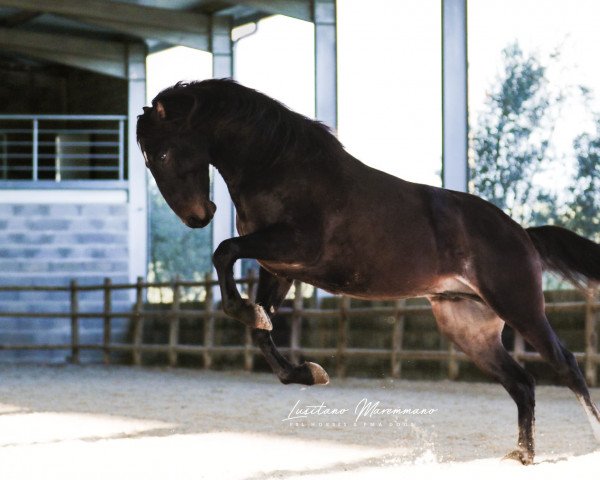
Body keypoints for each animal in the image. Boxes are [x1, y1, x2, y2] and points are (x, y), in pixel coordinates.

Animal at [137, 79, 600, 464]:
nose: (198, 217)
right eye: (148, 159)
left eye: (162, 153)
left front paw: (253, 316)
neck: (280, 169)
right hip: (468, 328)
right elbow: (260, 330)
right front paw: (307, 371)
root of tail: (522, 233)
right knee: (523, 383)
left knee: (566, 365)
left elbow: (225, 252)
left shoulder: (293, 246)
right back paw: (522, 455)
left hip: (521, 307)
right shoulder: (279, 269)